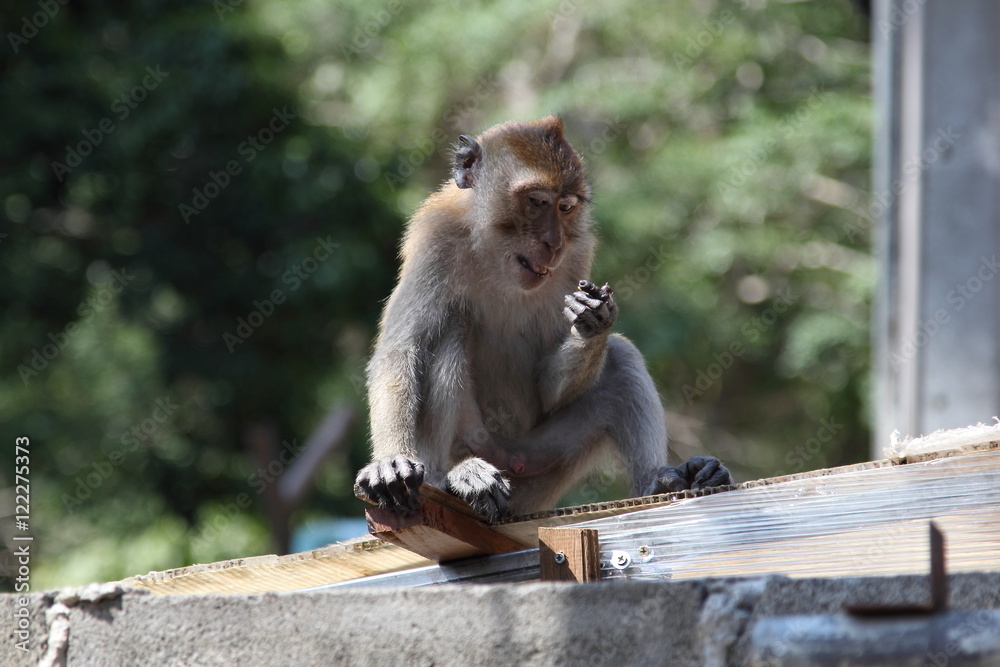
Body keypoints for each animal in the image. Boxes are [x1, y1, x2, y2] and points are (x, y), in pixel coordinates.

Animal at [354, 115, 732, 522]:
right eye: (536, 202)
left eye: (565, 207)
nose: (553, 243)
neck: (497, 252)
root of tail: (510, 458)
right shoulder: (435, 238)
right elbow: (401, 352)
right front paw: (390, 461)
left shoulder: (577, 255)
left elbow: (548, 389)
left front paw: (592, 320)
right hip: (482, 448)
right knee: (449, 329)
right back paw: (451, 478)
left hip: (540, 467)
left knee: (622, 359)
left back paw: (661, 481)